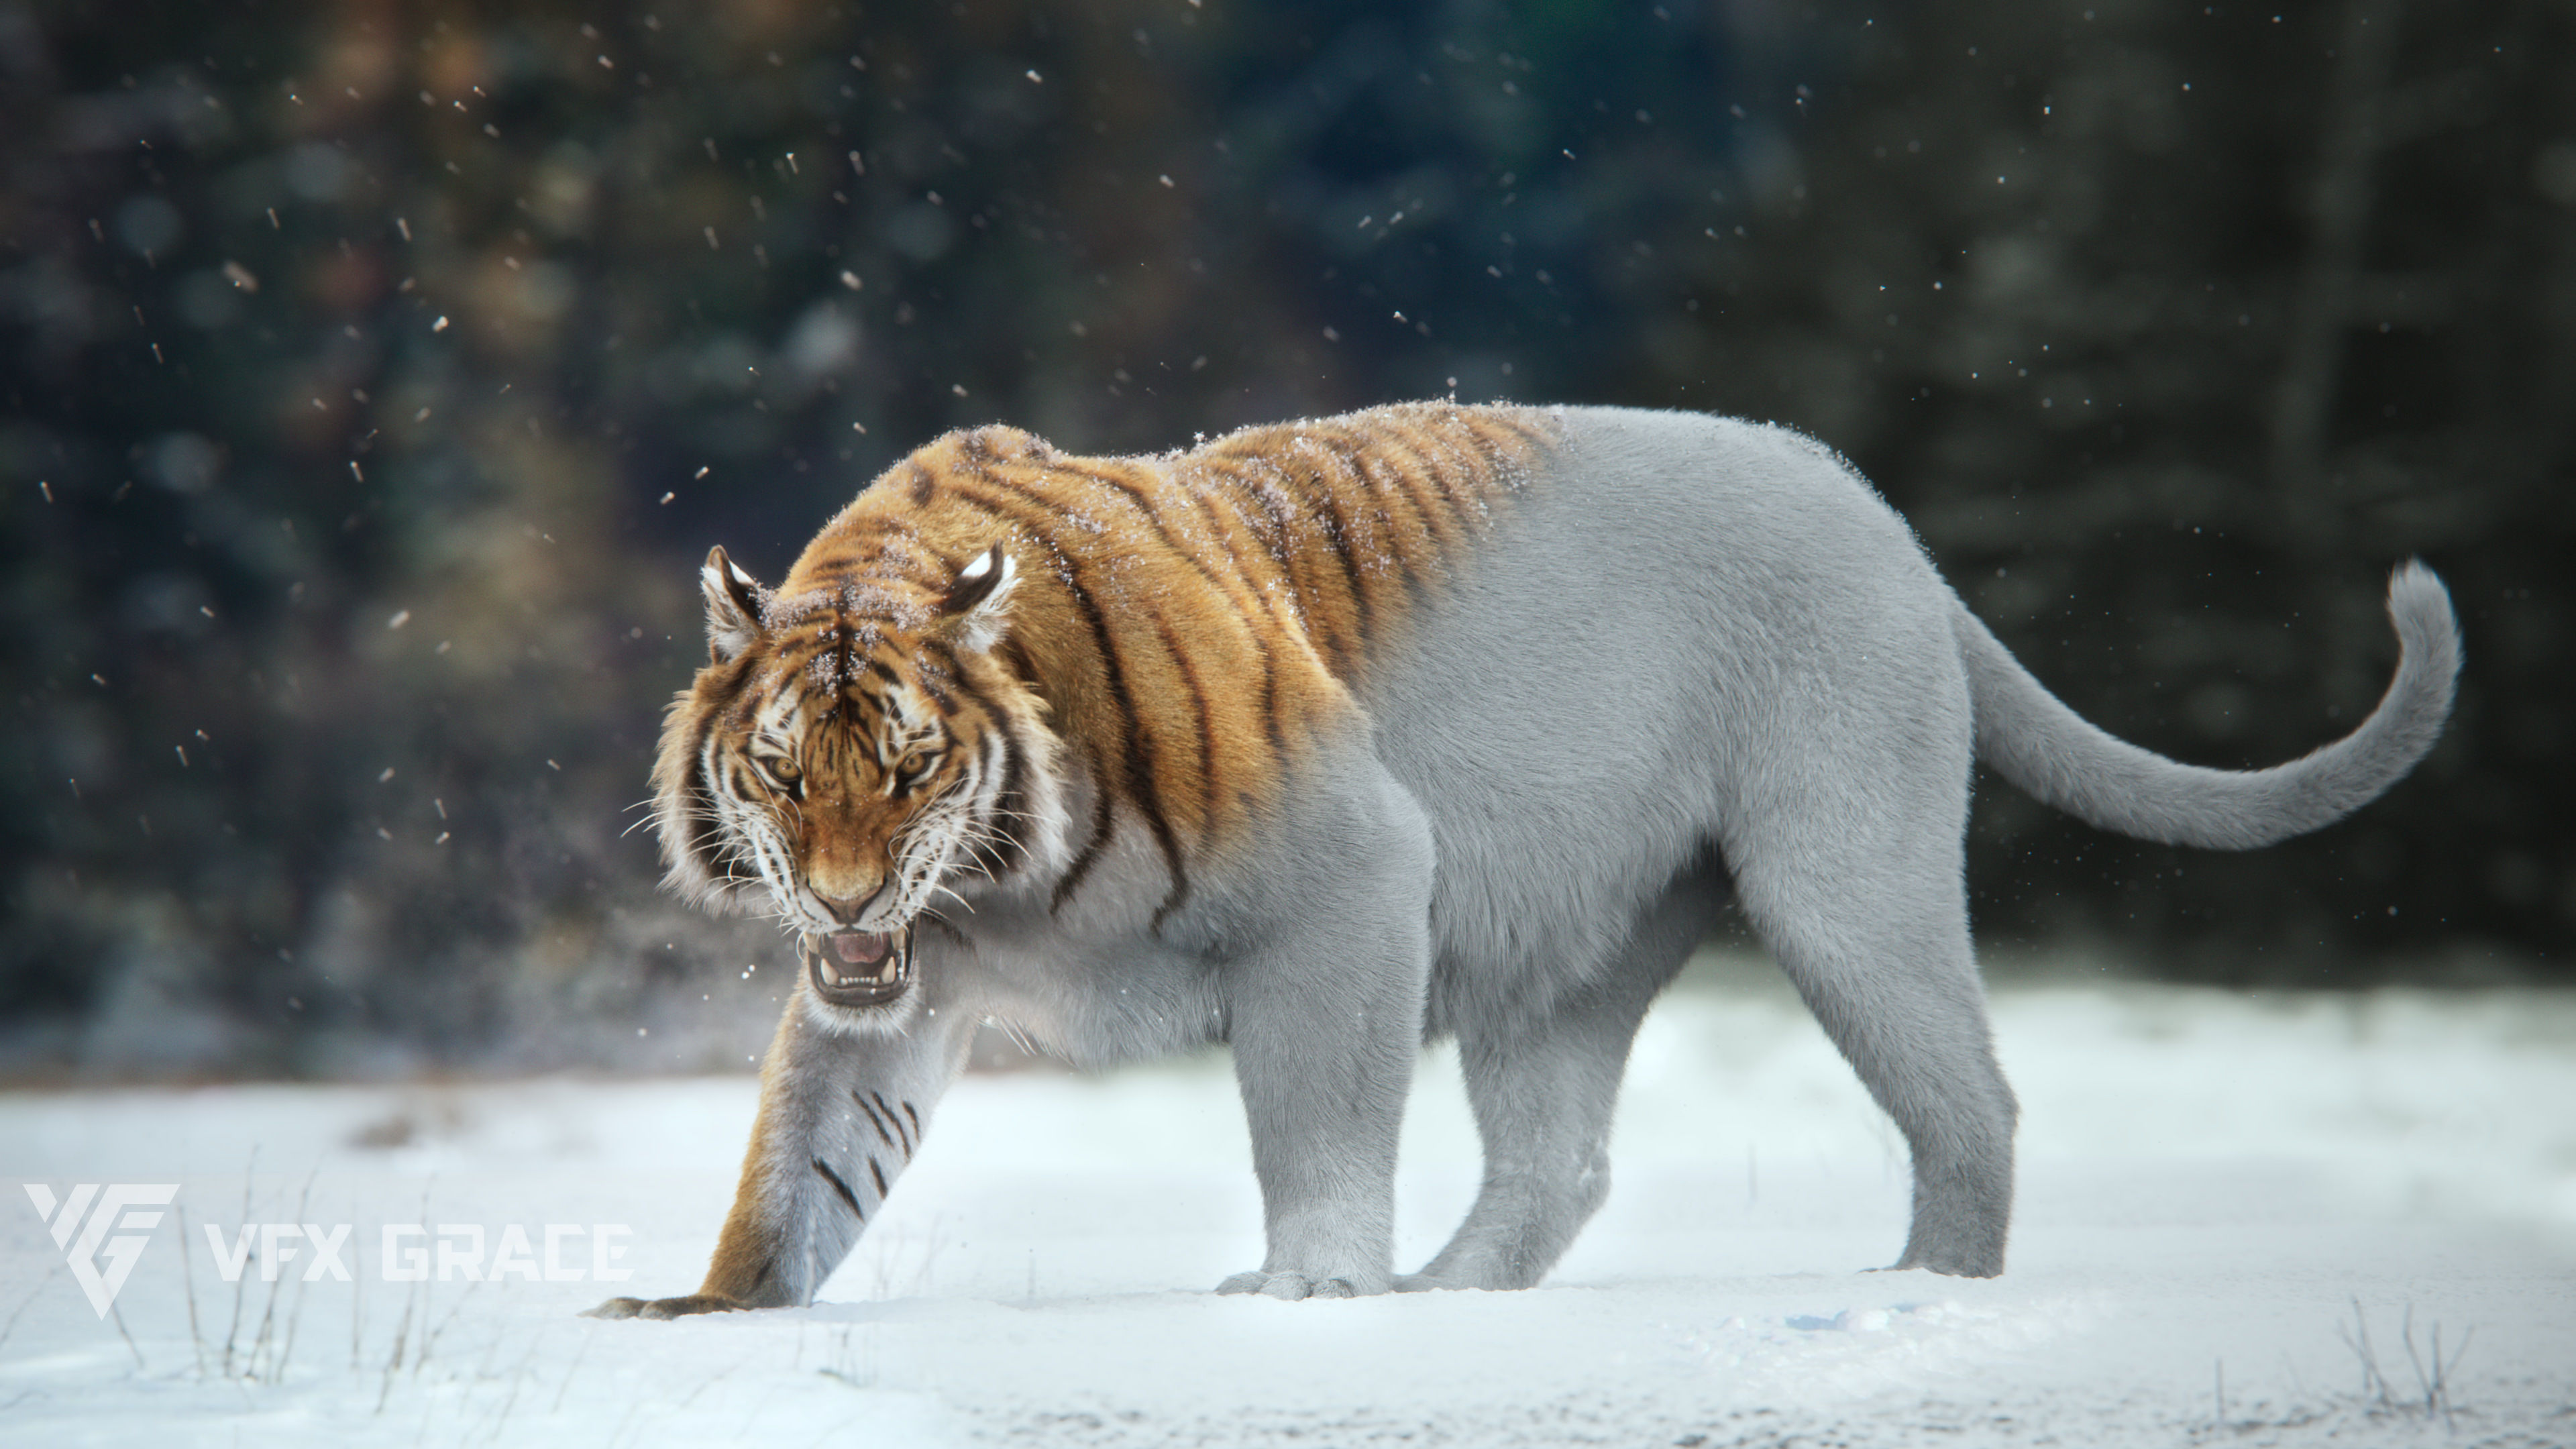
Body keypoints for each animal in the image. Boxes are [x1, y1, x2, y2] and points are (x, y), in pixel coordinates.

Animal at [587, 401, 2458, 1316]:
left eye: (909, 767)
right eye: (782, 772)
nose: (841, 898)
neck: (987, 882)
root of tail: (1890, 525)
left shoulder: (1353, 882)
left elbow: (1316, 1128)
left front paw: (1311, 1295)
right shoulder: (890, 995)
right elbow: (797, 1170)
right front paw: (709, 1317)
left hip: (1843, 880)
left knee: (1971, 1098)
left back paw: (1929, 1292)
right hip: (1559, 957)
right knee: (1560, 1165)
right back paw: (1450, 1301)